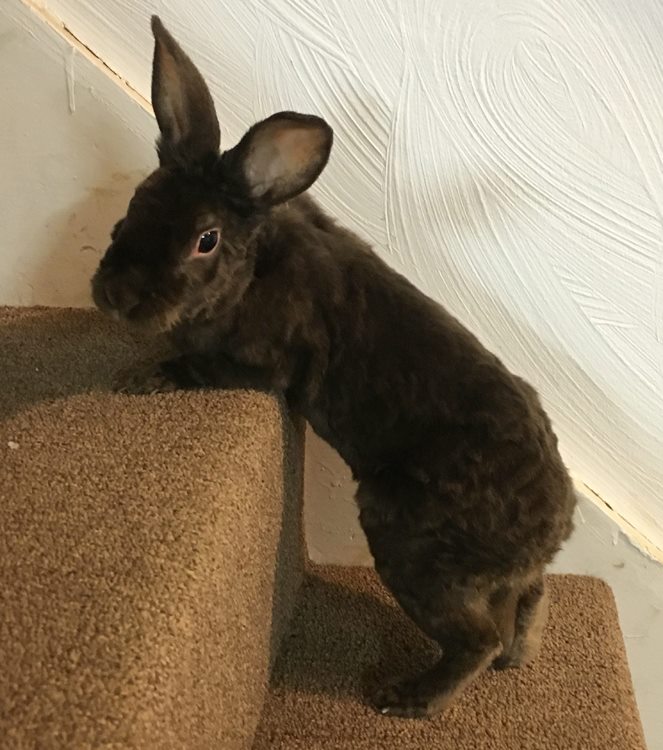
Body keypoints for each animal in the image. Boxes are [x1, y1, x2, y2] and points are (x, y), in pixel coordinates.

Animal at [92, 16, 576, 719]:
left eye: (205, 240)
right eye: (136, 202)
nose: (112, 295)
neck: (252, 267)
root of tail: (553, 530)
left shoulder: (268, 365)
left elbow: (201, 365)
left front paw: (142, 377)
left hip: (411, 546)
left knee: (475, 639)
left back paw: (404, 699)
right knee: (527, 603)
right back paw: (518, 656)